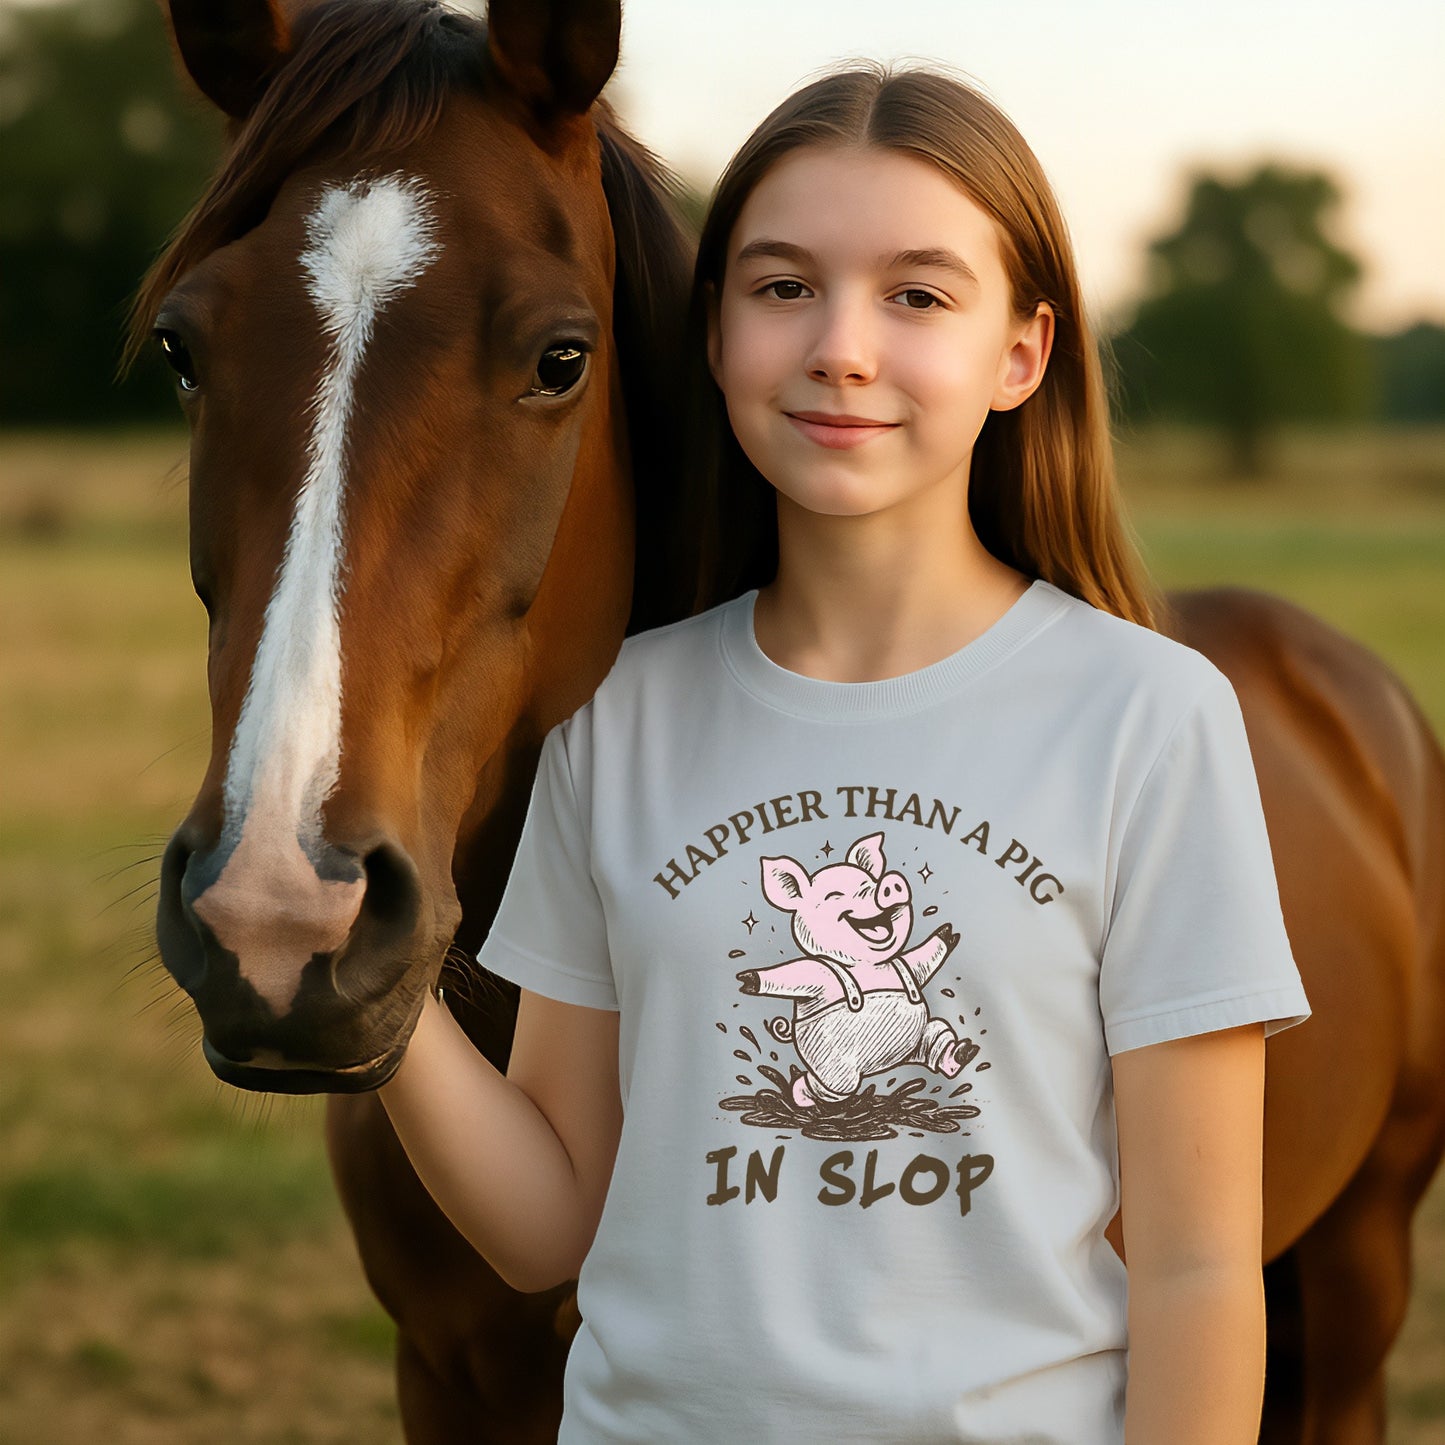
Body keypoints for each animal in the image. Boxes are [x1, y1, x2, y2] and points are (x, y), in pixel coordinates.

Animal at [736, 832, 967, 1109]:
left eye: (871, 882)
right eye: (835, 895)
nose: (890, 882)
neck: (866, 967)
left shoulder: (907, 965)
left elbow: (921, 959)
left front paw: (947, 934)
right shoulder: (820, 974)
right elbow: (795, 972)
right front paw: (748, 980)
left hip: (914, 1041)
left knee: (935, 1035)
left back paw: (963, 1053)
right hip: (834, 1067)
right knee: (830, 1087)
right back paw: (801, 1097)